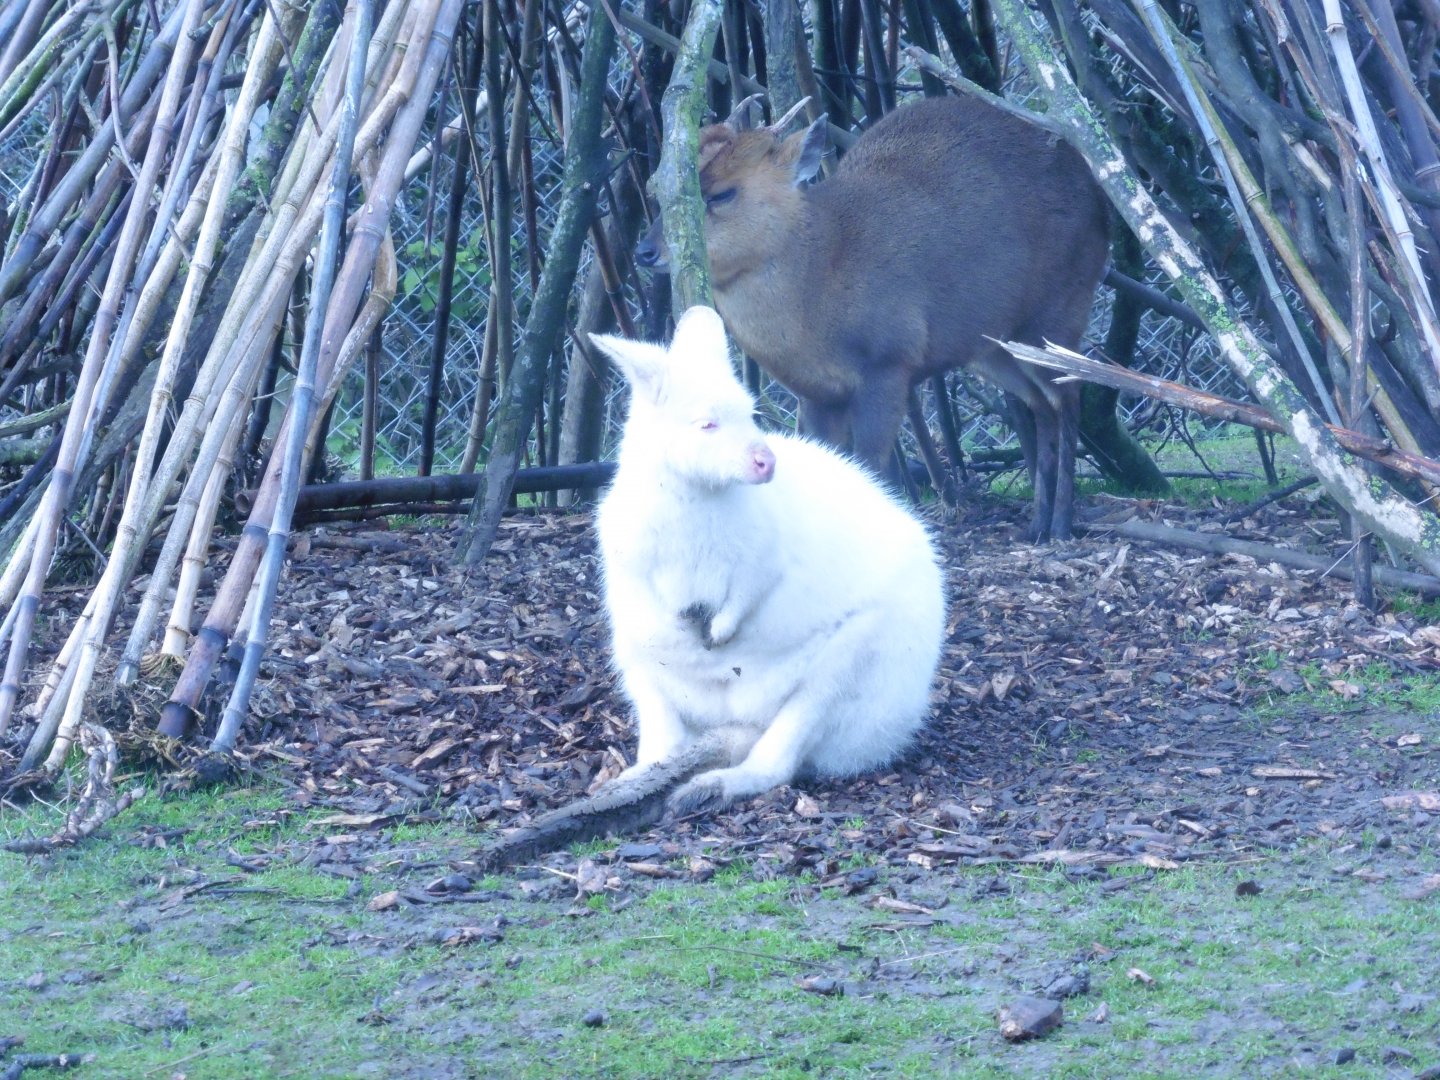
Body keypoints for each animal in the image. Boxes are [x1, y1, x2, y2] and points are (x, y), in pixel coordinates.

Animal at [636, 94, 1110, 541]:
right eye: (656, 186)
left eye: (722, 193)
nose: (644, 251)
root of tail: (1100, 197)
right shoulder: (817, 393)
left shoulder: (889, 364)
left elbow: (871, 466)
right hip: (992, 348)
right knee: (1041, 405)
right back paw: (1037, 526)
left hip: (1059, 308)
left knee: (1070, 395)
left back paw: (1061, 524)